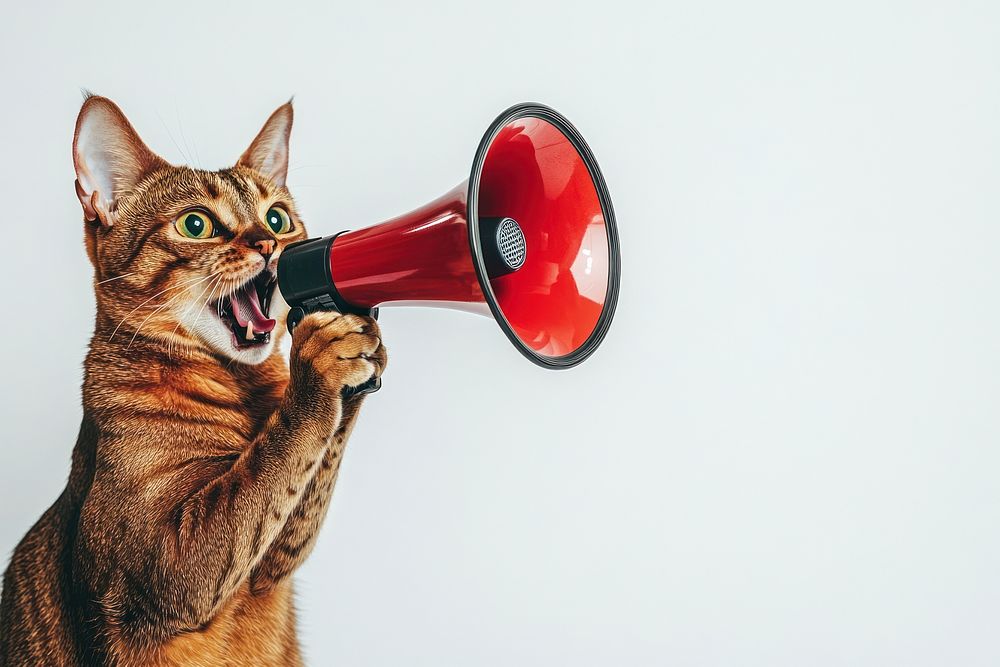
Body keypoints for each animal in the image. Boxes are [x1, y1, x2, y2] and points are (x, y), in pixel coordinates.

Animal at [0, 95, 386, 667]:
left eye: (277, 218)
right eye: (196, 224)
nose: (269, 244)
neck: (244, 393)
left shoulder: (272, 563)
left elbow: (301, 472)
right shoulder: (164, 568)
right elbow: (278, 453)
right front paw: (320, 361)